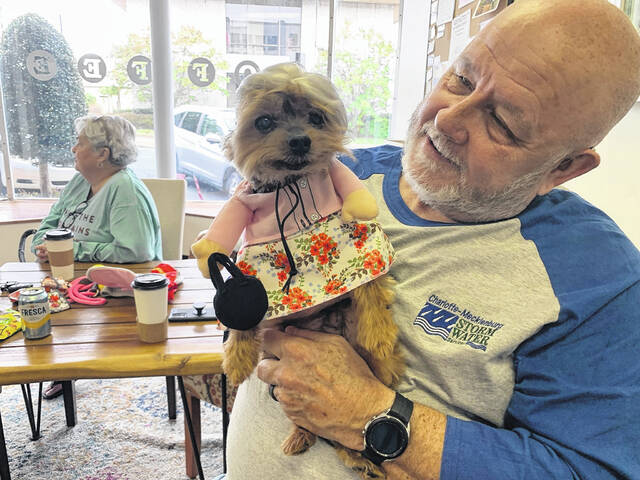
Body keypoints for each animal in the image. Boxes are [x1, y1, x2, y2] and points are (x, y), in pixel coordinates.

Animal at [190, 62, 404, 476]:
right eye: (265, 121)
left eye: (316, 118)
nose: (301, 141)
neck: (289, 185)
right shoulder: (248, 245)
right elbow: (240, 306)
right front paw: (236, 359)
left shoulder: (356, 234)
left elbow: (371, 285)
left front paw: (382, 337)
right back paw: (314, 441)